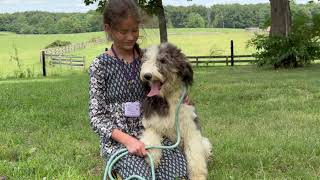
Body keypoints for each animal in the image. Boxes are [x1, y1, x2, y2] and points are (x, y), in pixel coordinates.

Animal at [140, 42, 212, 180]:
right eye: (146, 60)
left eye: (163, 60)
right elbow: (151, 137)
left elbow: (195, 154)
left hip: (205, 142)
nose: (147, 75)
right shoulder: (152, 122)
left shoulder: (191, 129)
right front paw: (152, 158)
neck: (168, 99)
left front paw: (197, 175)